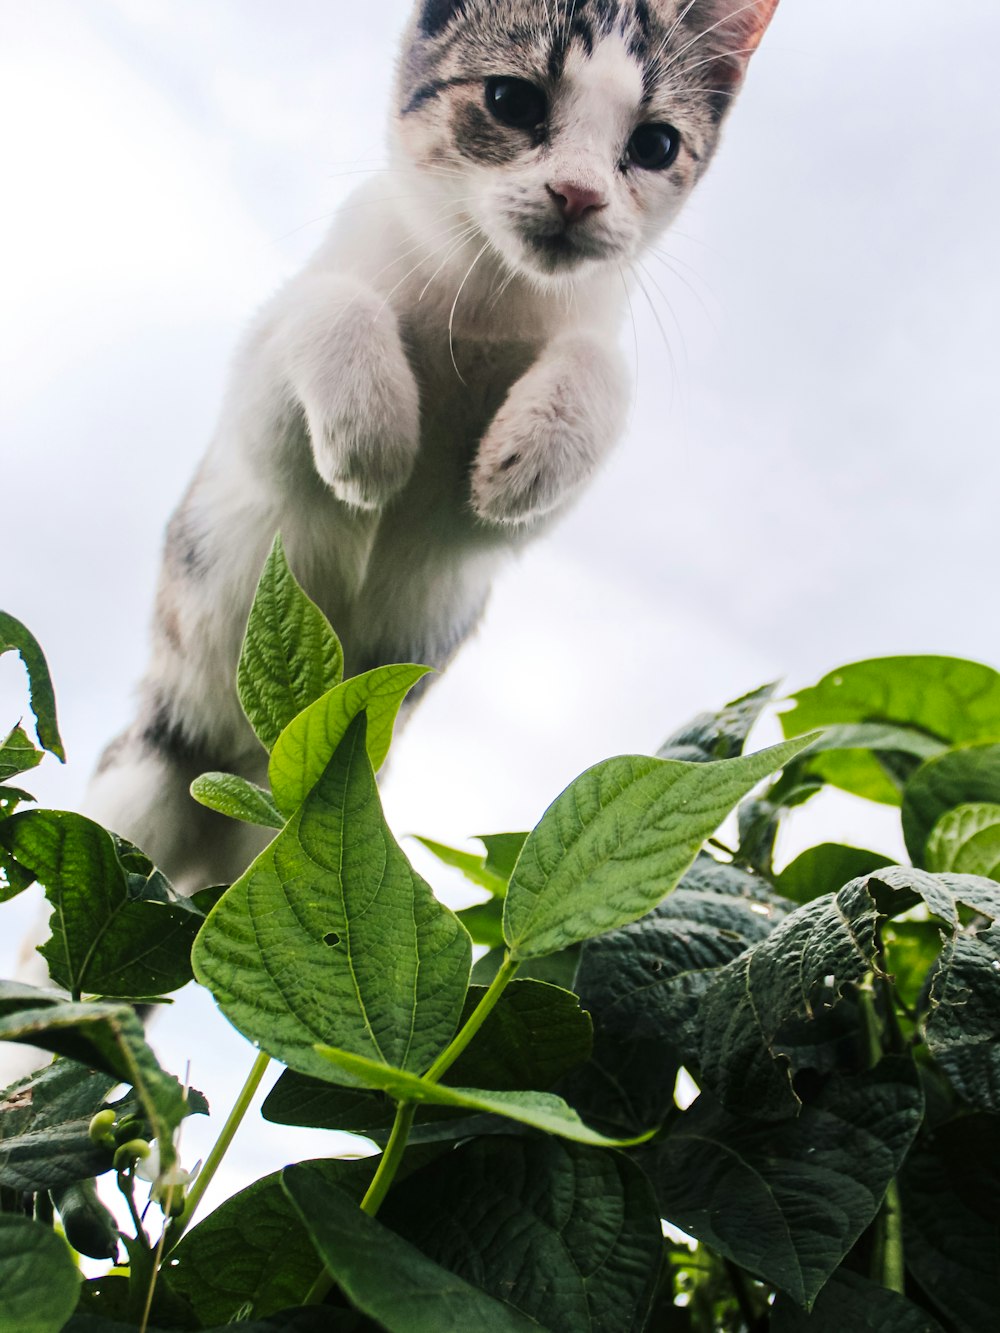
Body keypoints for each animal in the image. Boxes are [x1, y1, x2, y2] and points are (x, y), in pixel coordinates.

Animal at [84, 2, 784, 895]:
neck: (484, 293)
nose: (580, 193)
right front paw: (373, 438)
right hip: (143, 782)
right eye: (513, 100)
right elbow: (327, 303)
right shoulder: (258, 435)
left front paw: (526, 455)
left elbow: (599, 374)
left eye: (656, 144)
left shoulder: (478, 533)